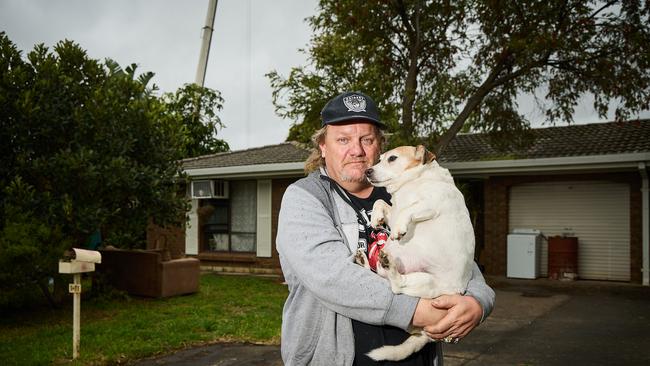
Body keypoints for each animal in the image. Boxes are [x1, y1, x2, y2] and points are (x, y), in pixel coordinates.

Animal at [356, 144, 474, 362]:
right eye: (379, 158)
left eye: (392, 158)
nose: (367, 171)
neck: (411, 183)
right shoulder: (392, 211)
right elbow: (379, 202)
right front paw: (376, 218)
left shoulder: (429, 204)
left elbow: (408, 209)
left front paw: (399, 229)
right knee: (380, 274)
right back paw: (365, 260)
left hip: (425, 281)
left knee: (397, 285)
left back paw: (388, 265)